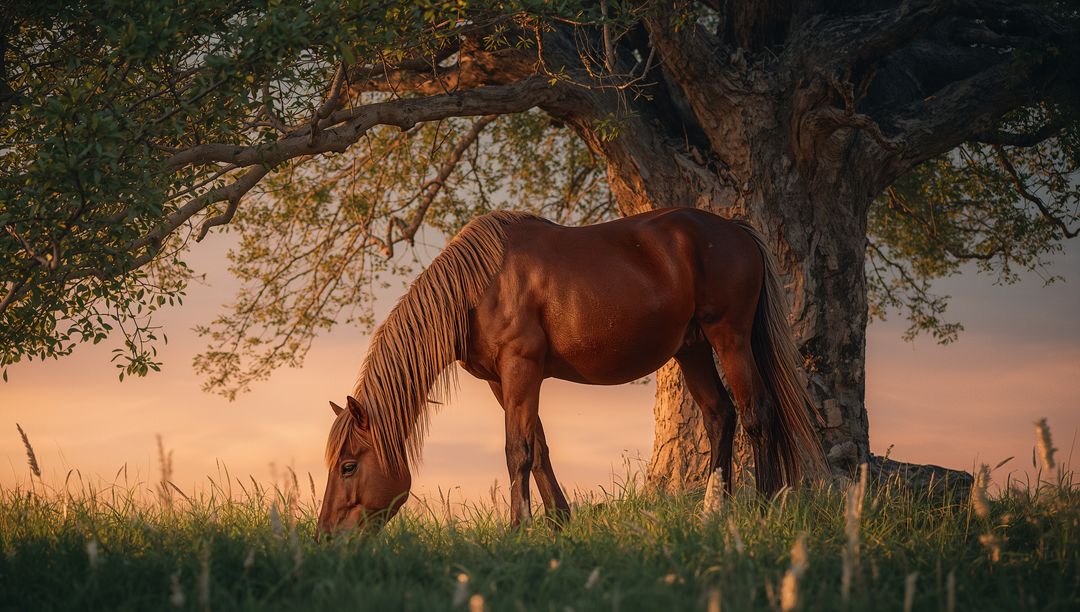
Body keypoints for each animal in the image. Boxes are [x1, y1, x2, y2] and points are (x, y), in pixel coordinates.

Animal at [318, 207, 827, 535]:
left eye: (348, 465)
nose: (325, 536)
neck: (481, 286)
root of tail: (736, 230)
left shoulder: (521, 368)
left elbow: (517, 450)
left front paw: (517, 531)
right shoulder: (503, 381)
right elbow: (539, 447)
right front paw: (558, 523)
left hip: (730, 338)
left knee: (757, 413)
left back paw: (763, 508)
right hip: (694, 349)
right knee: (720, 414)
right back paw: (712, 511)